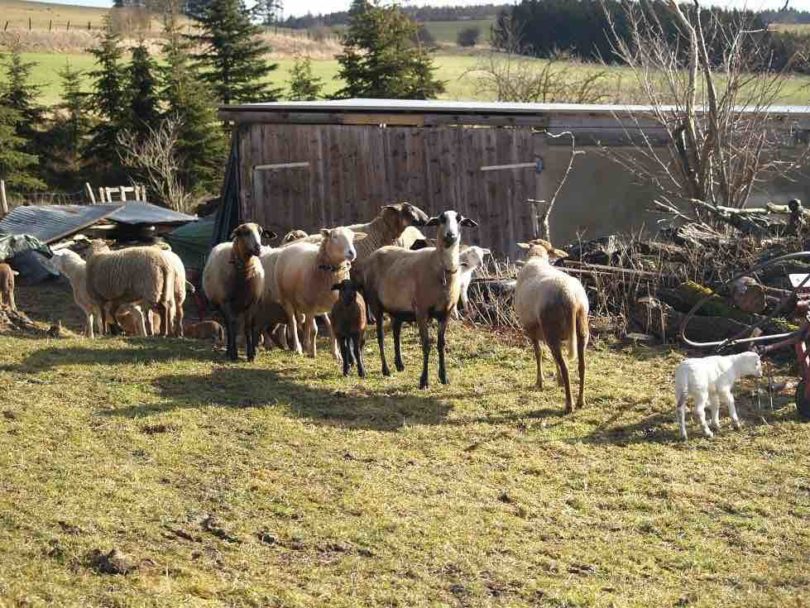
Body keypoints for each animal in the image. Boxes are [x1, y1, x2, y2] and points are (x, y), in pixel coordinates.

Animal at [202, 223, 275, 361]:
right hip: (221, 305)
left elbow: (248, 326)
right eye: (244, 233)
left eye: (260, 232)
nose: (258, 248)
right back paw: (228, 350)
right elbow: (232, 327)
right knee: (228, 325)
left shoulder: (252, 302)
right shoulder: (226, 302)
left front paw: (251, 354)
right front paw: (234, 353)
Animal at [273, 227, 367, 358]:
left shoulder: (331, 305)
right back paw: (298, 347)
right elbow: (313, 329)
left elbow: (330, 328)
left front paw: (336, 353)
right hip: (286, 299)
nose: (352, 253)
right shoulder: (310, 304)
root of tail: (292, 245)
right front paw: (312, 352)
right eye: (334, 237)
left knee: (307, 322)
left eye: (352, 237)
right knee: (293, 322)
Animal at [359, 210, 478, 389]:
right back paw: (386, 369)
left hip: (396, 307)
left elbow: (441, 344)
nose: (450, 235)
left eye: (459, 220)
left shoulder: (445, 313)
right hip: (376, 304)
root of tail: (377, 252)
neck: (441, 269)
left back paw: (399, 364)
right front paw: (424, 381)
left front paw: (444, 377)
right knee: (380, 337)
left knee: (396, 333)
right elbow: (426, 344)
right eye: (441, 219)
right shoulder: (422, 311)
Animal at [514, 239, 589, 413]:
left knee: (566, 366)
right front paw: (558, 381)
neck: (536, 257)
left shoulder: (531, 328)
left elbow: (538, 353)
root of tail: (571, 298)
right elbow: (553, 357)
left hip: (551, 330)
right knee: (581, 366)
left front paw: (539, 382)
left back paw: (569, 405)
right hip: (581, 331)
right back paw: (580, 401)